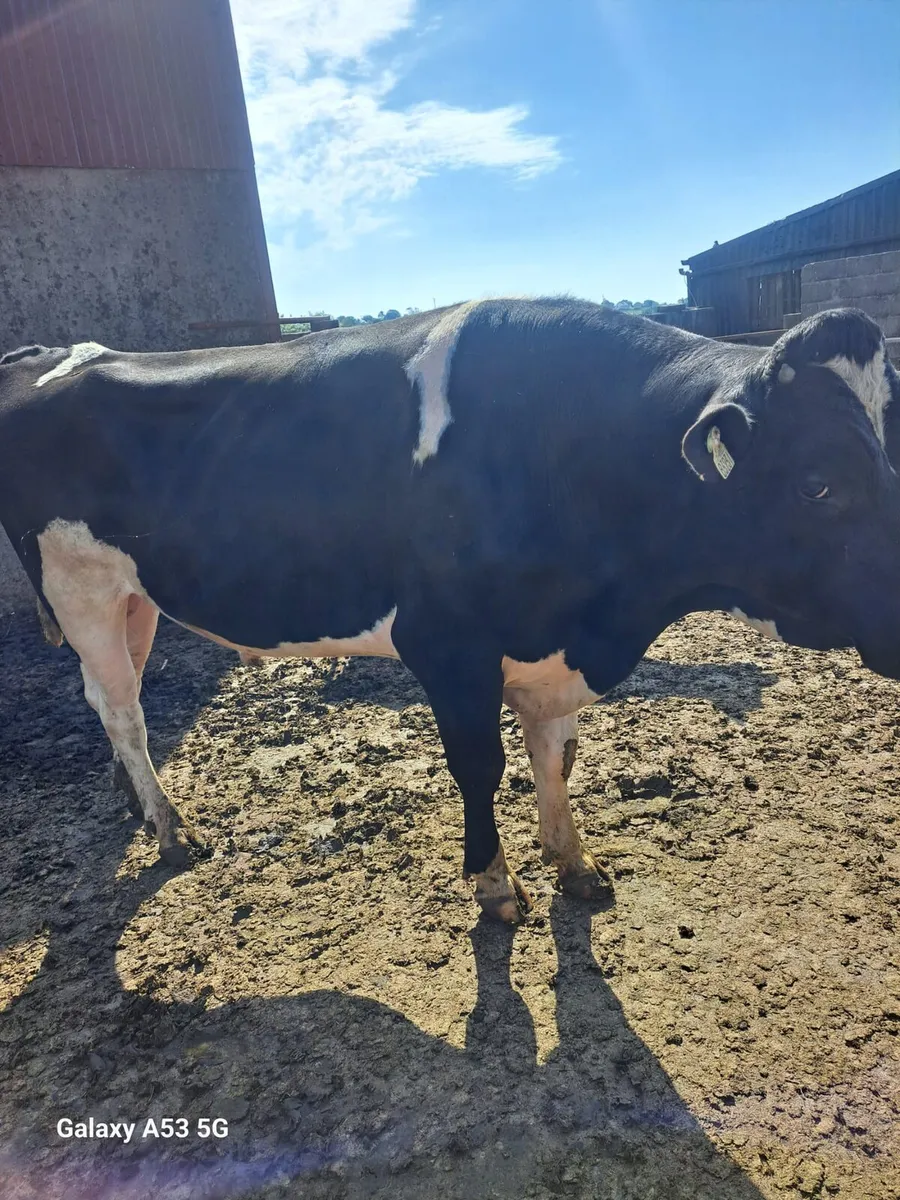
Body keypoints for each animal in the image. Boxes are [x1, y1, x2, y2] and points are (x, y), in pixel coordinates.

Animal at [2, 300, 900, 926]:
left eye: (885, 455)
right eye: (817, 483)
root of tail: (48, 353)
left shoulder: (548, 648)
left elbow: (556, 755)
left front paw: (574, 862)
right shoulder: (446, 644)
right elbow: (482, 766)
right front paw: (495, 885)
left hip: (135, 595)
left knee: (113, 698)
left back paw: (139, 805)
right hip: (79, 584)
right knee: (120, 706)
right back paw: (170, 830)